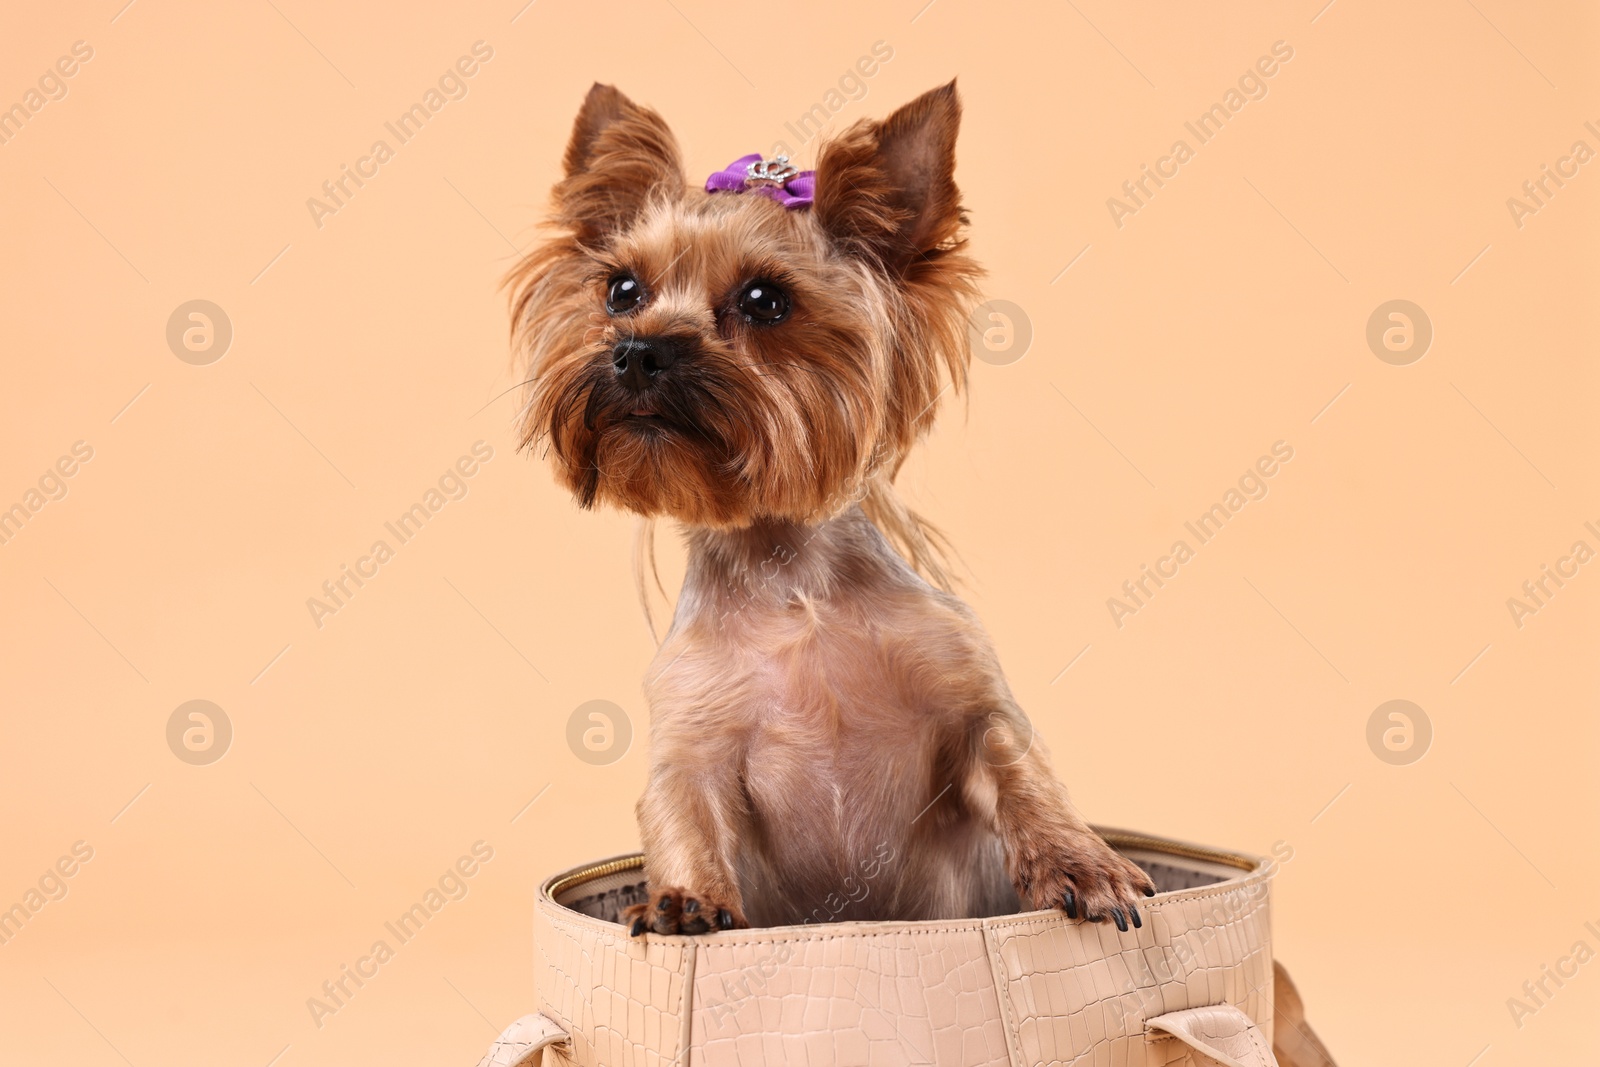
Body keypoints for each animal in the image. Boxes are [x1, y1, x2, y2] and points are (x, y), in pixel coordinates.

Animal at [512, 81, 1152, 934]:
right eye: (621, 290)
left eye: (764, 299)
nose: (637, 349)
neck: (786, 573)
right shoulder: (692, 741)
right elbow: (682, 814)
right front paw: (686, 901)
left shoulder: (971, 701)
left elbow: (1022, 768)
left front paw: (1082, 863)